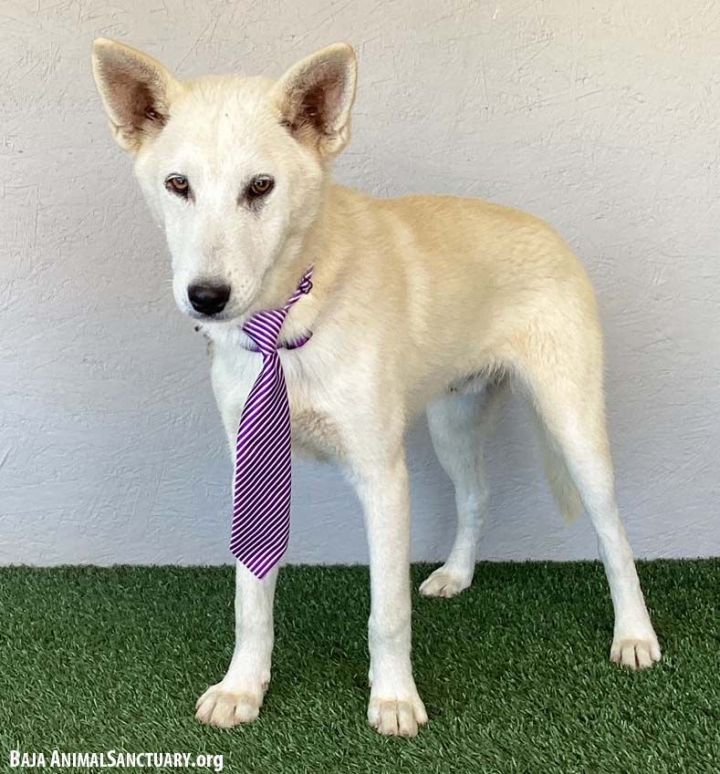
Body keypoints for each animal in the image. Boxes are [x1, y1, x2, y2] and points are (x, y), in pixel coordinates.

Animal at [90, 38, 660, 740]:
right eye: (178, 185)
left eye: (261, 187)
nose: (206, 297)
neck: (292, 318)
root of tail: (546, 229)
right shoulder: (250, 470)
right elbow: (252, 600)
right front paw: (242, 689)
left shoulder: (383, 476)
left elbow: (386, 610)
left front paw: (393, 700)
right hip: (452, 423)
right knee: (476, 496)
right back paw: (457, 575)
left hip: (573, 424)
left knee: (613, 535)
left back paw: (634, 634)